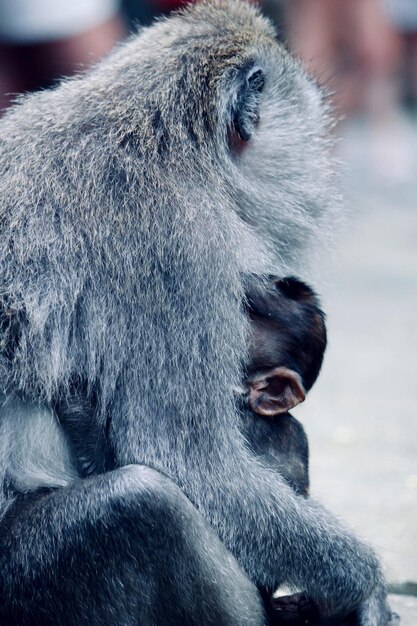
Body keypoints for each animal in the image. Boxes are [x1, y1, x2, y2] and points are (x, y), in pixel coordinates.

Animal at [0, 1, 394, 624]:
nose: (316, 177)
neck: (153, 133)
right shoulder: (179, 253)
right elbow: (195, 468)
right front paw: (366, 583)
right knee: (139, 505)